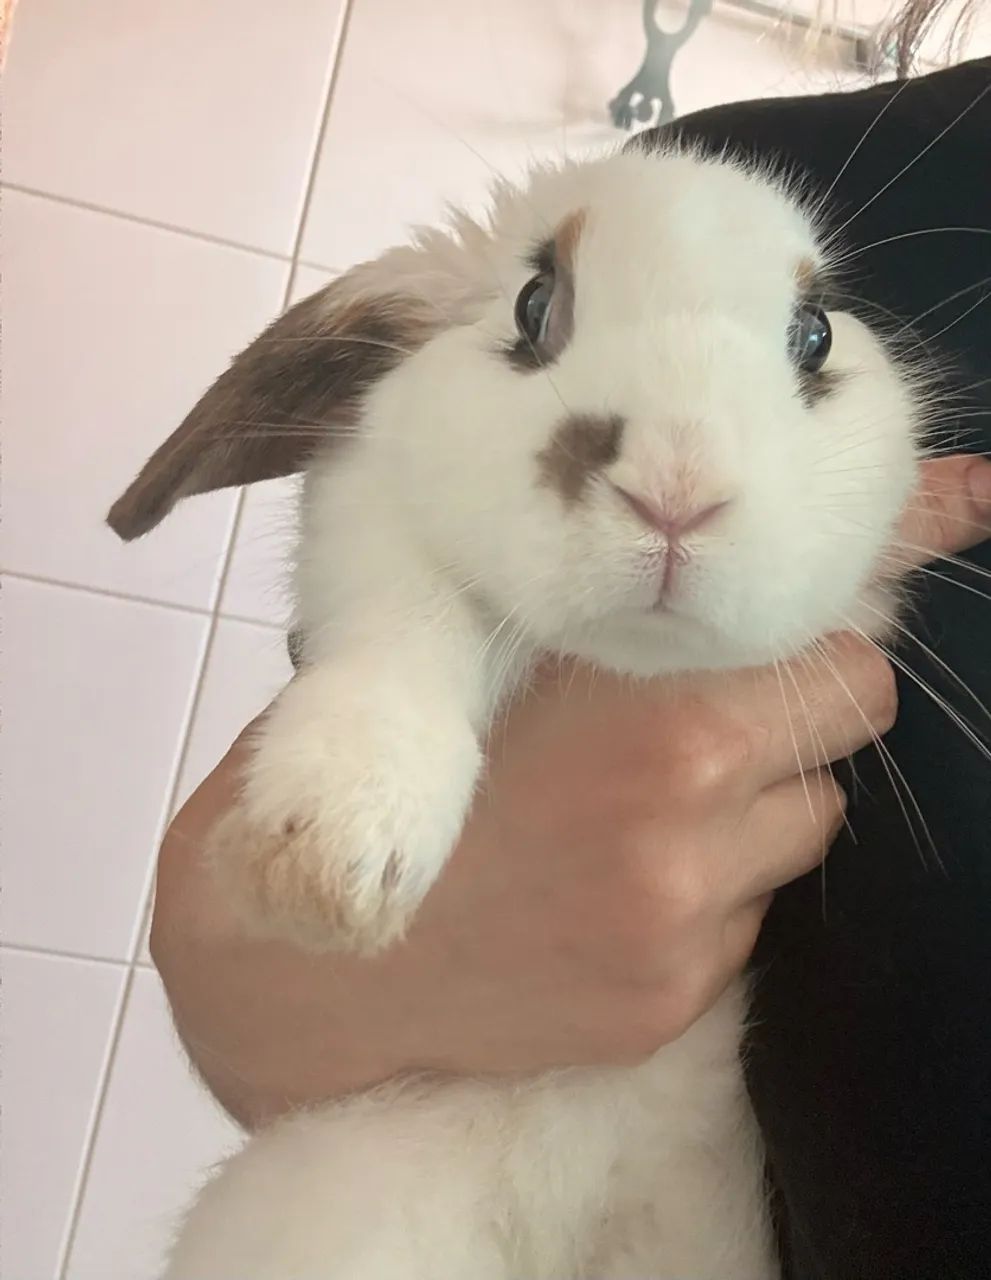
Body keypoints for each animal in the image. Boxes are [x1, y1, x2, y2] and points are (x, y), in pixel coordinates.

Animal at [109, 141, 924, 1279]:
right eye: (535, 307)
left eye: (814, 336)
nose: (678, 490)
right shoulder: (374, 540)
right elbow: (407, 636)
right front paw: (328, 862)